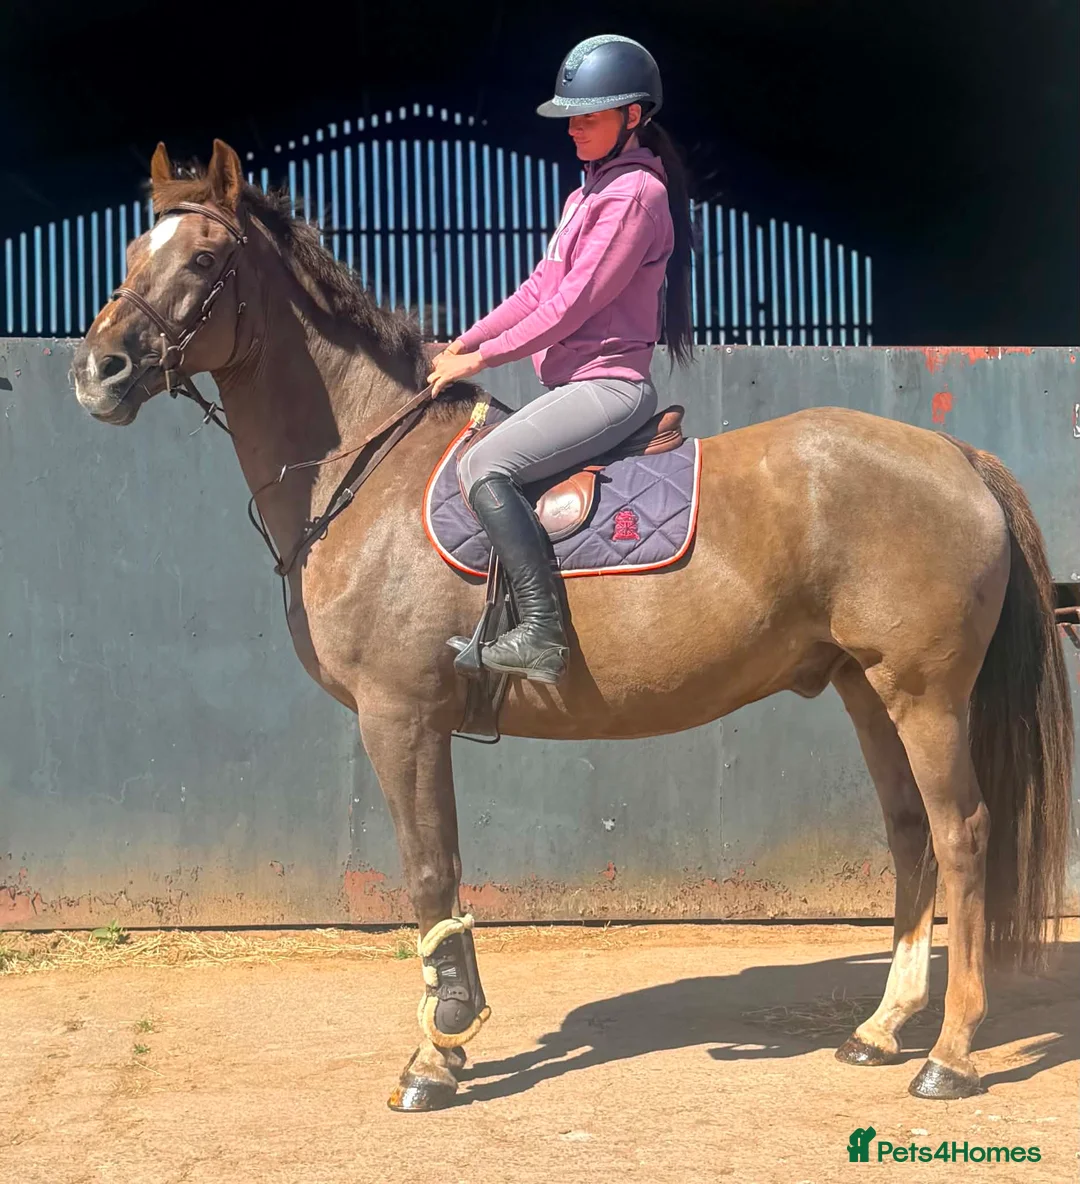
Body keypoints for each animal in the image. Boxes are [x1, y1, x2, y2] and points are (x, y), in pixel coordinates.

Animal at [71, 139, 1073, 1111]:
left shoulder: (400, 716)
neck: (367, 470)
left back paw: (949, 1055)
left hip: (926, 697)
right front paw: (455, 1034)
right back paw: (881, 1028)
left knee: (961, 834)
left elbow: (429, 870)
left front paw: (436, 1055)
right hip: (868, 692)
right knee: (910, 834)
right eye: (131, 253)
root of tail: (956, 455)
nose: (96, 372)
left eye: (205, 260)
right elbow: (445, 866)